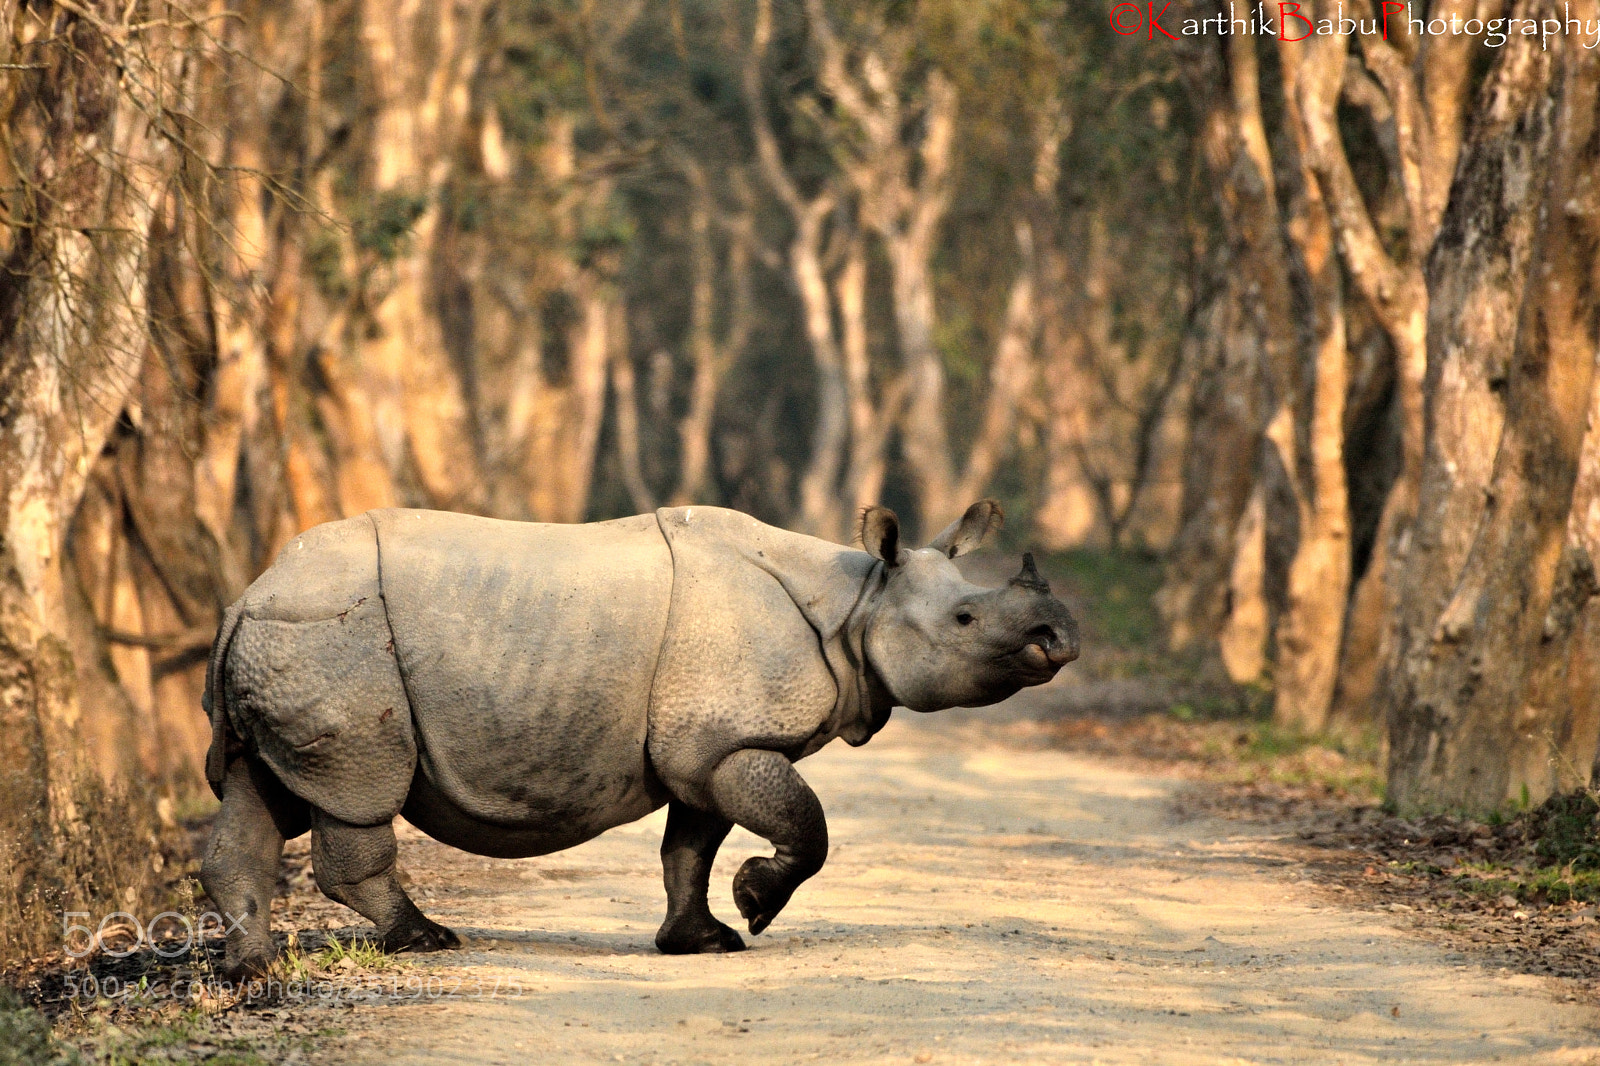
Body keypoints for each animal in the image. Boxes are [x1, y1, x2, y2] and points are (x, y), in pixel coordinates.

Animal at [199, 499, 1079, 979]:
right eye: (965, 620)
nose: (1060, 637)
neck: (859, 599)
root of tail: (247, 595)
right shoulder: (728, 736)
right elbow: (807, 826)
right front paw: (757, 907)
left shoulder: (706, 744)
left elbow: (689, 848)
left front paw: (704, 941)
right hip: (333, 641)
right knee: (358, 792)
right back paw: (426, 940)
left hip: (286, 642)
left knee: (257, 793)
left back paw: (251, 970)